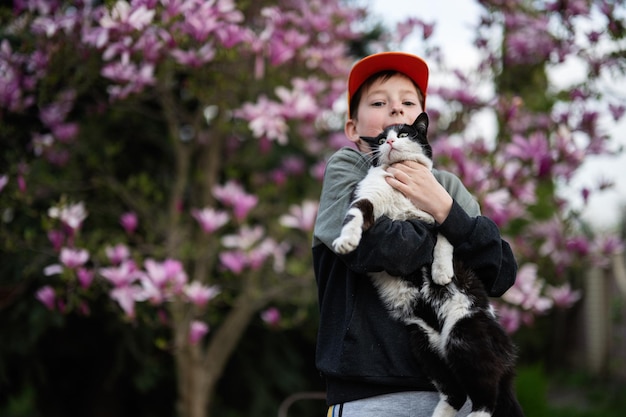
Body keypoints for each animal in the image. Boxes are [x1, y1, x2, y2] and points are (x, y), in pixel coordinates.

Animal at [332, 112, 520, 416]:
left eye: (404, 134)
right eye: (381, 140)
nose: (391, 141)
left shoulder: (437, 211)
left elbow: (445, 234)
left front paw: (442, 272)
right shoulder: (369, 198)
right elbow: (356, 215)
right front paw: (346, 241)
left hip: (464, 333)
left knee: (486, 394)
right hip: (423, 343)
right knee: (457, 392)